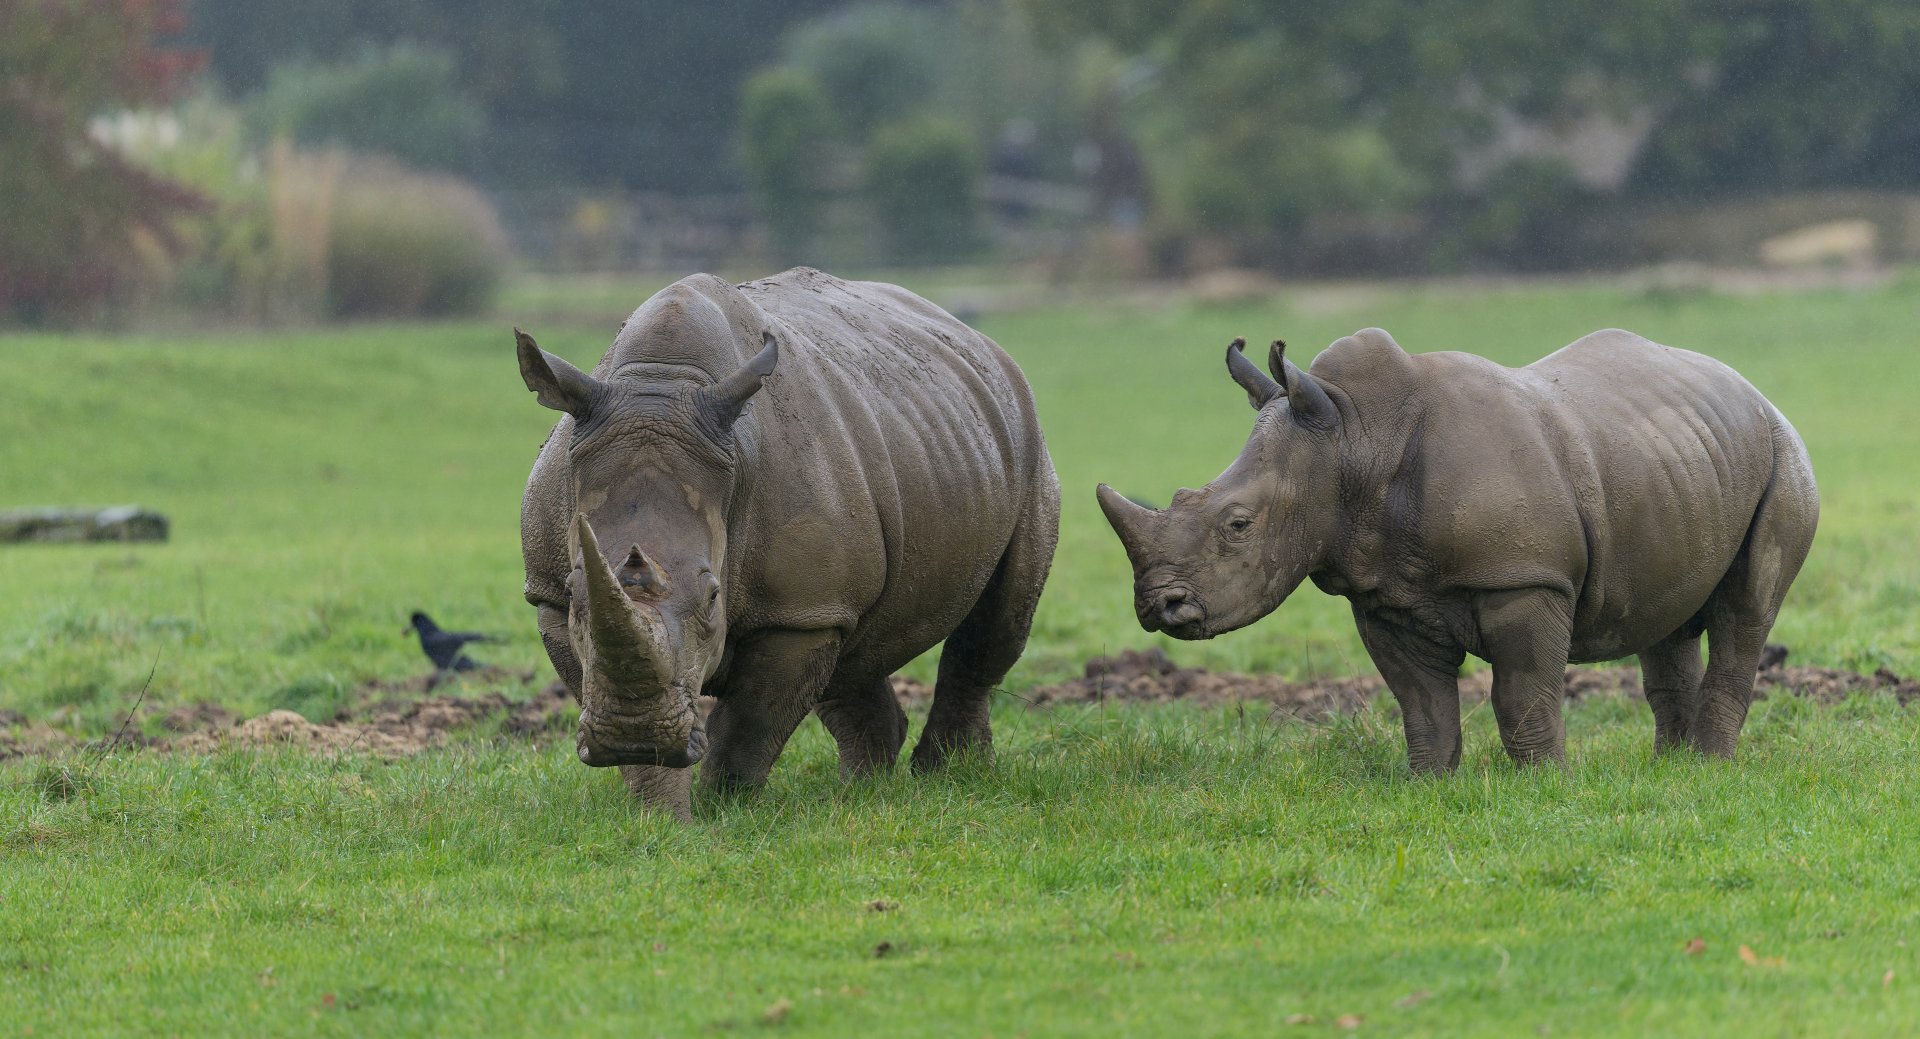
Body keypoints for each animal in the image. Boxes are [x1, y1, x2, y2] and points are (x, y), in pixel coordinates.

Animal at [519, 268, 1058, 819]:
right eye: (575, 590)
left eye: (713, 596)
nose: (630, 736)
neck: (663, 385)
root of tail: (978, 340)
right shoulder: (550, 597)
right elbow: (619, 694)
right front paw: (661, 815)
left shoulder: (797, 613)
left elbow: (749, 729)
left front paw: (726, 811)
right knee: (854, 655)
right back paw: (864, 793)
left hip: (1024, 437)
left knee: (998, 619)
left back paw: (948, 777)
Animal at [1098, 328, 1818, 770]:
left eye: (1239, 524)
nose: (1160, 606)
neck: (1353, 439)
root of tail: (1751, 389)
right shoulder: (1382, 593)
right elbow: (1421, 701)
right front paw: (1430, 782)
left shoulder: (1523, 579)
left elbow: (1523, 691)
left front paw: (1544, 783)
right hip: (1675, 458)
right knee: (1666, 618)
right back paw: (1670, 767)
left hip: (1783, 454)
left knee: (1745, 611)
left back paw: (1709, 767)